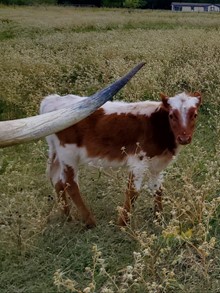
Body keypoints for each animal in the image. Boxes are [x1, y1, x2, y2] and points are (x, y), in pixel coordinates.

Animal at [40, 90, 201, 226]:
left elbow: (157, 189)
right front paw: (123, 223)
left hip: (57, 153)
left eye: (194, 115)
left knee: (58, 181)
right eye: (172, 115)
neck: (157, 125)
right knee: (70, 184)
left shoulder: (157, 163)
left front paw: (159, 218)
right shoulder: (139, 160)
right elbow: (133, 191)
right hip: (68, 154)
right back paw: (89, 221)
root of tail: (53, 100)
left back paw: (67, 216)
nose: (184, 138)